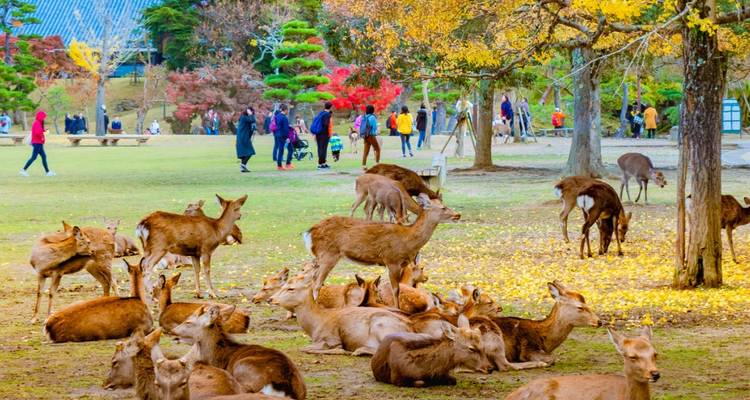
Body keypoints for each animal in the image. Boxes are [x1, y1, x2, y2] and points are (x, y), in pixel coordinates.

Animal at [269, 272, 412, 356]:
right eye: (282, 286)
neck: (315, 326)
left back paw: (358, 351)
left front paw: (341, 350)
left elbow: (305, 348)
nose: (270, 299)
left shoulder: (331, 337)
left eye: (291, 288)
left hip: (381, 327)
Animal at [304, 193, 460, 309]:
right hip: (328, 254)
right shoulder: (392, 260)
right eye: (443, 207)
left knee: (313, 279)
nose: (457, 215)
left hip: (319, 256)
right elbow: (395, 290)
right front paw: (397, 309)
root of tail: (309, 232)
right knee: (316, 283)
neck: (408, 240)